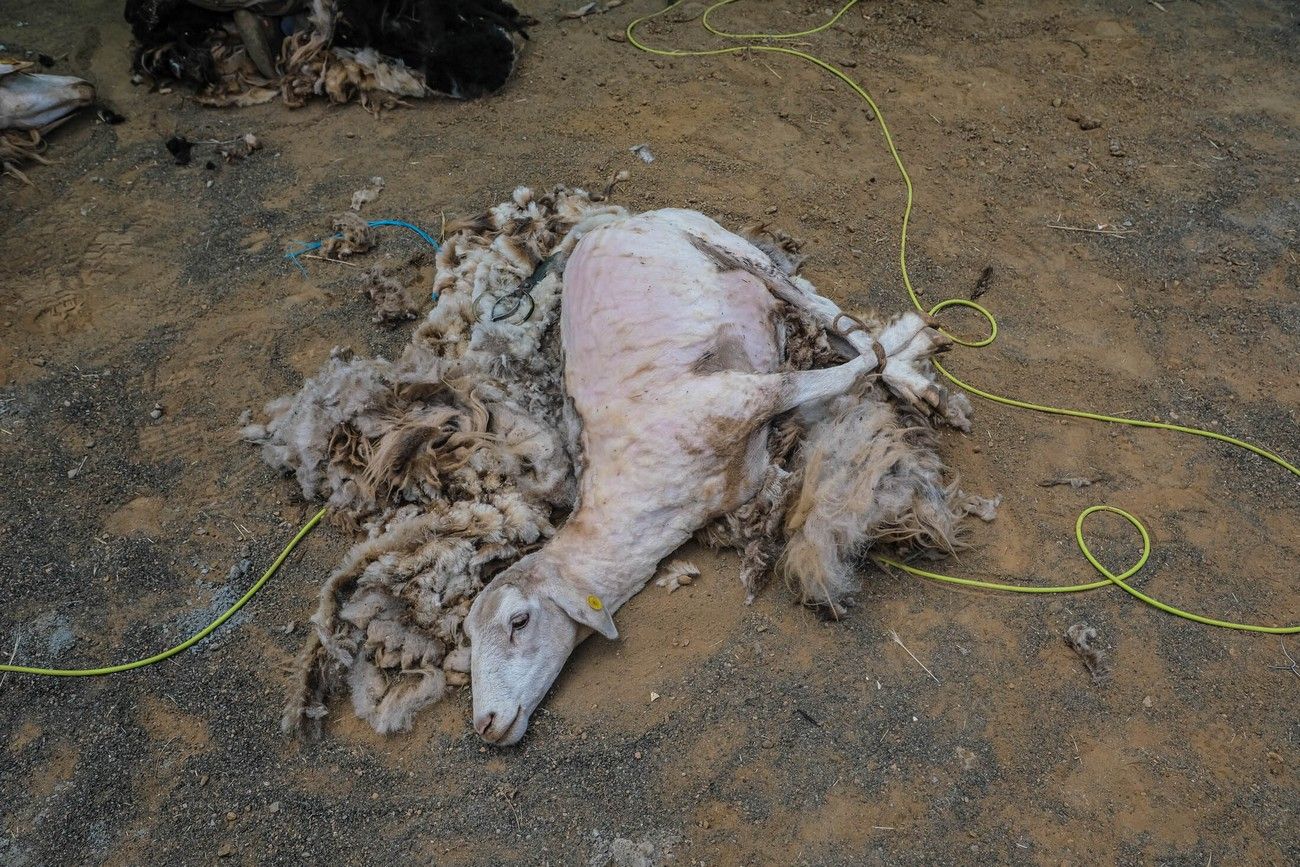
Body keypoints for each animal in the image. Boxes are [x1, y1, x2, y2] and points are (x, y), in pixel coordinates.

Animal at [245, 189, 993, 748]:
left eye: (518, 622)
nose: (487, 725)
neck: (644, 495)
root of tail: (612, 222)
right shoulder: (748, 455)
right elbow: (814, 394)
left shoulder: (736, 397)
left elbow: (826, 375)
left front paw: (890, 364)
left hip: (725, 242)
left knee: (821, 307)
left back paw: (911, 363)